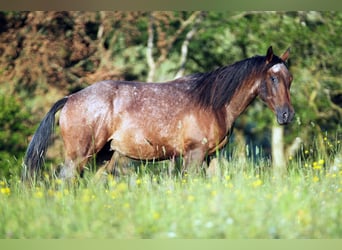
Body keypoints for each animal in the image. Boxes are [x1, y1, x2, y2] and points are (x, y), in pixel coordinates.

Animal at [22, 46, 294, 180]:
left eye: (289, 78)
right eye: (272, 78)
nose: (287, 116)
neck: (212, 103)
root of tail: (70, 98)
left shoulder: (211, 156)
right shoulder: (194, 155)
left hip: (103, 156)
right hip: (79, 155)